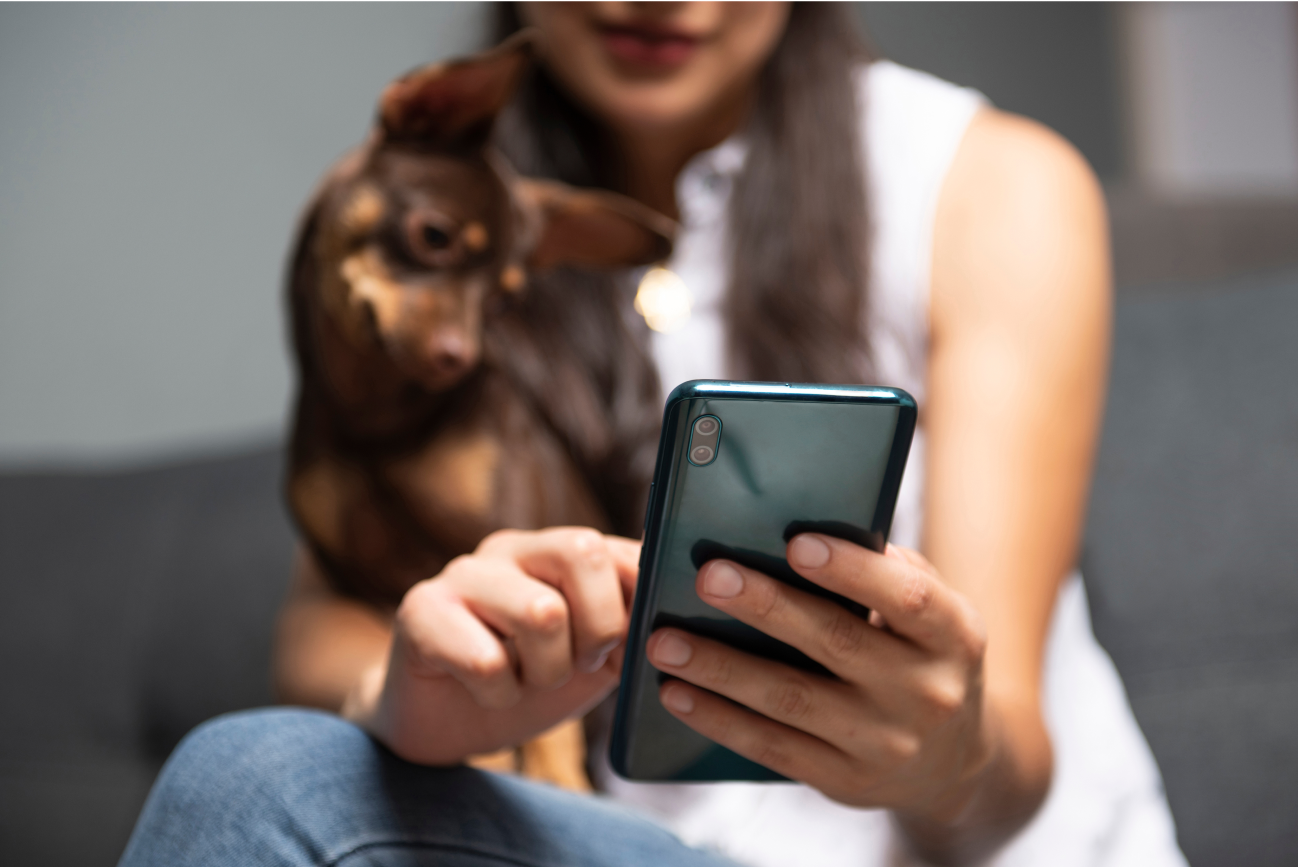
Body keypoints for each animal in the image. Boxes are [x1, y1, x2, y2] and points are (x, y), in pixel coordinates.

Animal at [284, 37, 669, 789]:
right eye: (434, 236)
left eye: (503, 299)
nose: (458, 357)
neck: (377, 422)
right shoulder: (364, 586)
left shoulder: (514, 538)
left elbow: (547, 720)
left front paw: (554, 780)